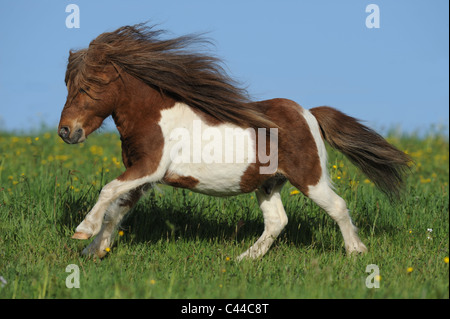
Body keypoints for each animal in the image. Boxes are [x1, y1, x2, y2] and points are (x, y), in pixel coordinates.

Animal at [58, 24, 410, 260]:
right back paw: (245, 260)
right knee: (277, 221)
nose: (66, 131)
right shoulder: (142, 176)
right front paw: (93, 251)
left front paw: (82, 231)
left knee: (337, 206)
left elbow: (108, 192)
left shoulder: (150, 167)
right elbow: (116, 209)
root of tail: (307, 114)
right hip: (267, 183)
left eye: (90, 86)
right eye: (67, 84)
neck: (153, 116)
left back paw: (356, 252)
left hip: (309, 178)